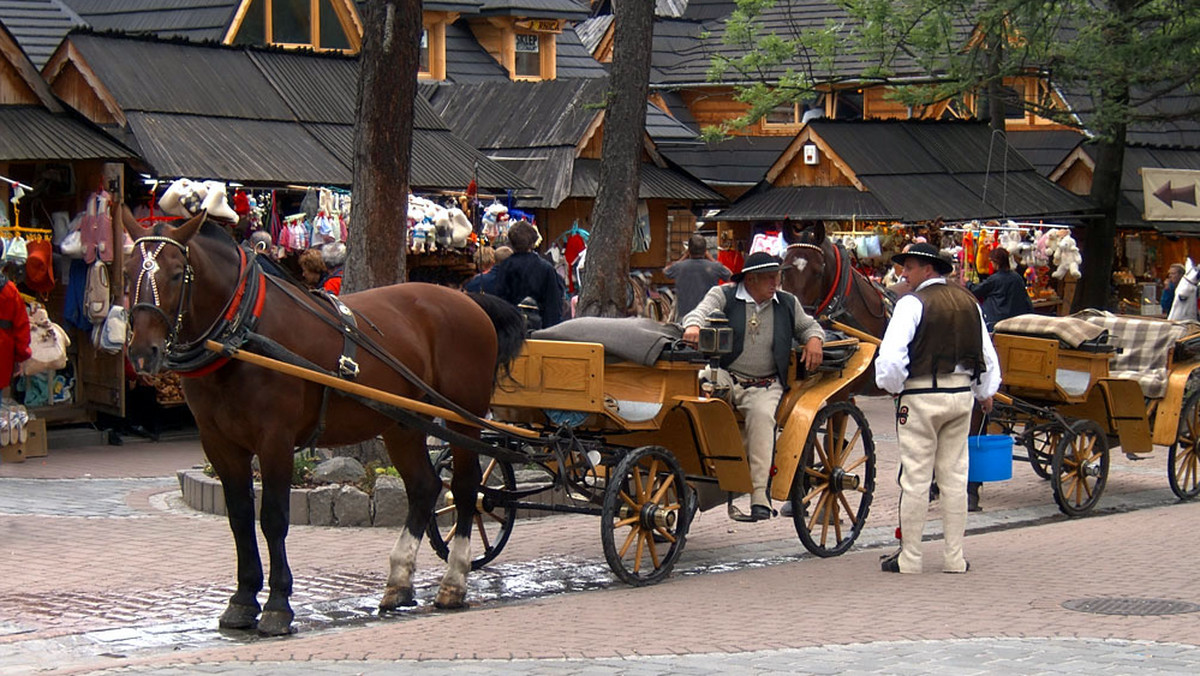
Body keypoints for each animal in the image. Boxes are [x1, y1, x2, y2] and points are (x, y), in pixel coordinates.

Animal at [120, 210, 525, 633]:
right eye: (127, 270)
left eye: (177, 273)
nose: (143, 352)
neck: (243, 333)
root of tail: (468, 299)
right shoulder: (220, 443)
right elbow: (240, 518)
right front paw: (243, 599)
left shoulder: (275, 439)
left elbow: (273, 518)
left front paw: (278, 605)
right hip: (403, 423)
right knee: (424, 487)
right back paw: (399, 582)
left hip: (463, 418)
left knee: (464, 490)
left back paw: (454, 580)